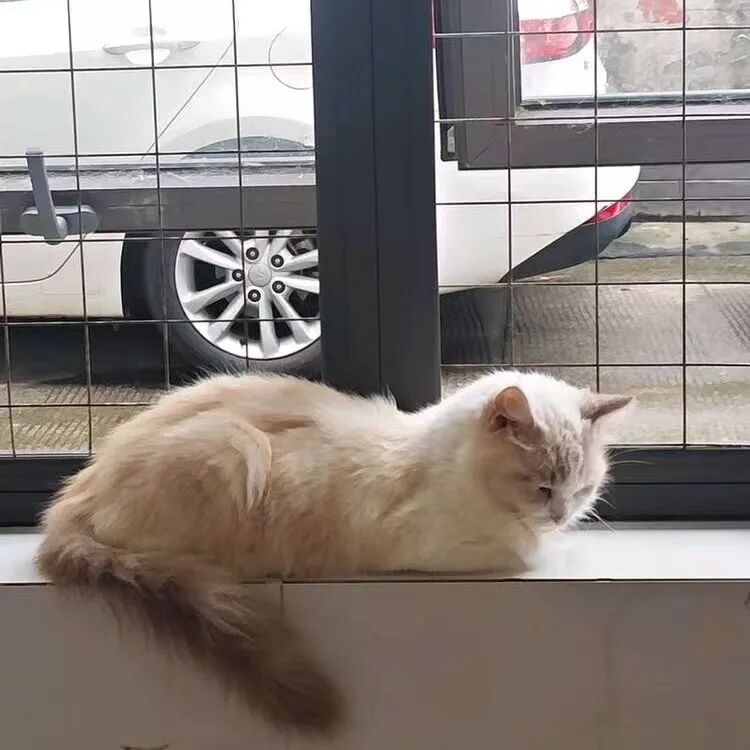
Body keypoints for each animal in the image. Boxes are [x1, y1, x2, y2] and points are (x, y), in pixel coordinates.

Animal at [36, 370, 630, 735]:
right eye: (541, 488)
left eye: (581, 489)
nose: (560, 516)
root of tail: (77, 491)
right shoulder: (455, 546)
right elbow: (524, 556)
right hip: (231, 450)